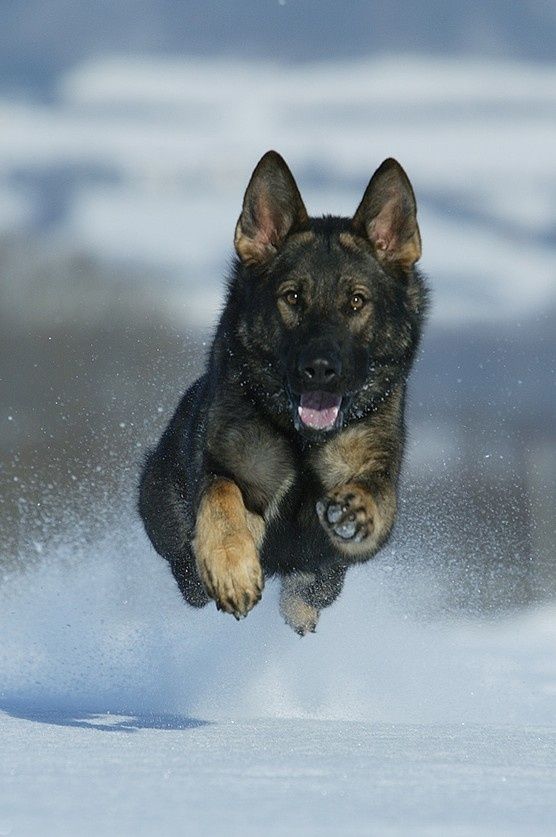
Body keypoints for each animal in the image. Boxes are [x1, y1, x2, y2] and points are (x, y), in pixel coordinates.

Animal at [138, 150, 426, 632]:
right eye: (292, 297)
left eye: (356, 301)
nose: (320, 371)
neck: (301, 440)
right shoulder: (227, 471)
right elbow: (221, 496)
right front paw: (232, 569)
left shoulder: (370, 495)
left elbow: (375, 497)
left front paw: (354, 511)